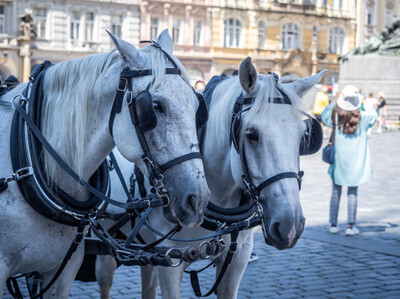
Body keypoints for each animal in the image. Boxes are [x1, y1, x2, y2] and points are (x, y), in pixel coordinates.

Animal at [96, 57, 324, 298]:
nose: (290, 225)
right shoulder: (169, 260)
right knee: (104, 278)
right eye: (251, 135)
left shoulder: (237, 257)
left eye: (303, 135)